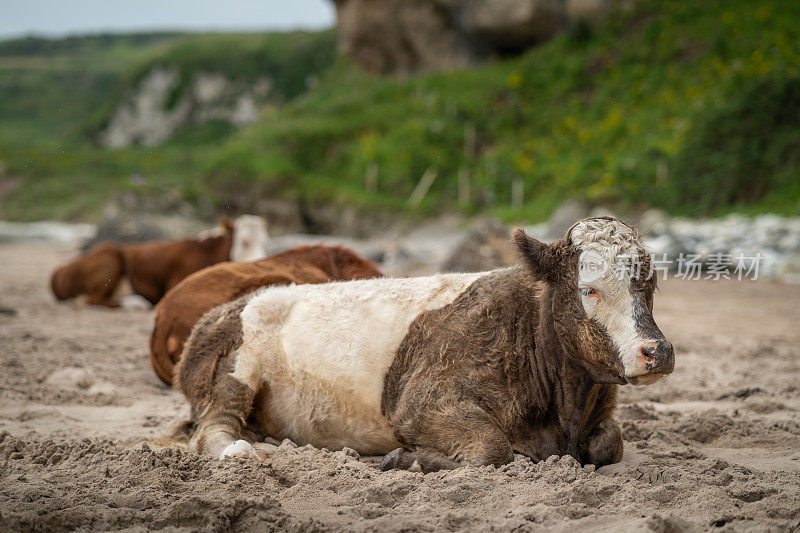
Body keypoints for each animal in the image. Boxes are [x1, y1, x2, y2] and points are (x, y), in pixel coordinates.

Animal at [50, 215, 268, 308]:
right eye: (244, 242)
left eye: (265, 242)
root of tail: (60, 268)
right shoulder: (177, 283)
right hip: (110, 258)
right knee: (93, 299)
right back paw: (136, 303)